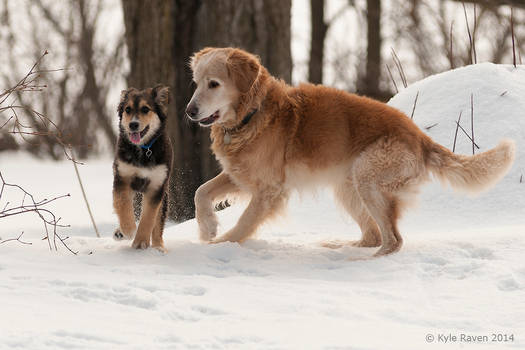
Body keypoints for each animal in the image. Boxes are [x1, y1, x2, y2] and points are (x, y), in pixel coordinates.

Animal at [112, 84, 172, 252]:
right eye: (127, 109)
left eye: (145, 109)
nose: (133, 124)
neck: (143, 150)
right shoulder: (122, 177)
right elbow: (122, 204)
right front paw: (128, 230)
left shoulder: (157, 186)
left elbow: (149, 217)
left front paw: (140, 242)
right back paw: (120, 232)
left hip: (164, 197)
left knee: (158, 224)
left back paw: (159, 247)